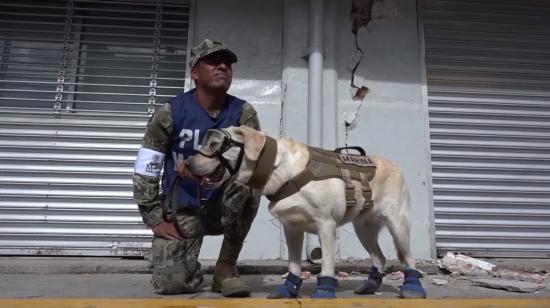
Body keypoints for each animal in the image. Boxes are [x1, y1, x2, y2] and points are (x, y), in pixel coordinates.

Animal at [188, 125, 430, 298]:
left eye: (214, 144)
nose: (188, 163)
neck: (279, 169)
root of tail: (395, 165)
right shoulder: (292, 228)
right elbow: (294, 264)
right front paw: (288, 289)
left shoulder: (326, 226)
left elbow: (327, 266)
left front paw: (324, 291)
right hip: (364, 229)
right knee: (379, 257)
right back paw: (370, 285)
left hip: (398, 224)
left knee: (409, 258)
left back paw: (413, 289)